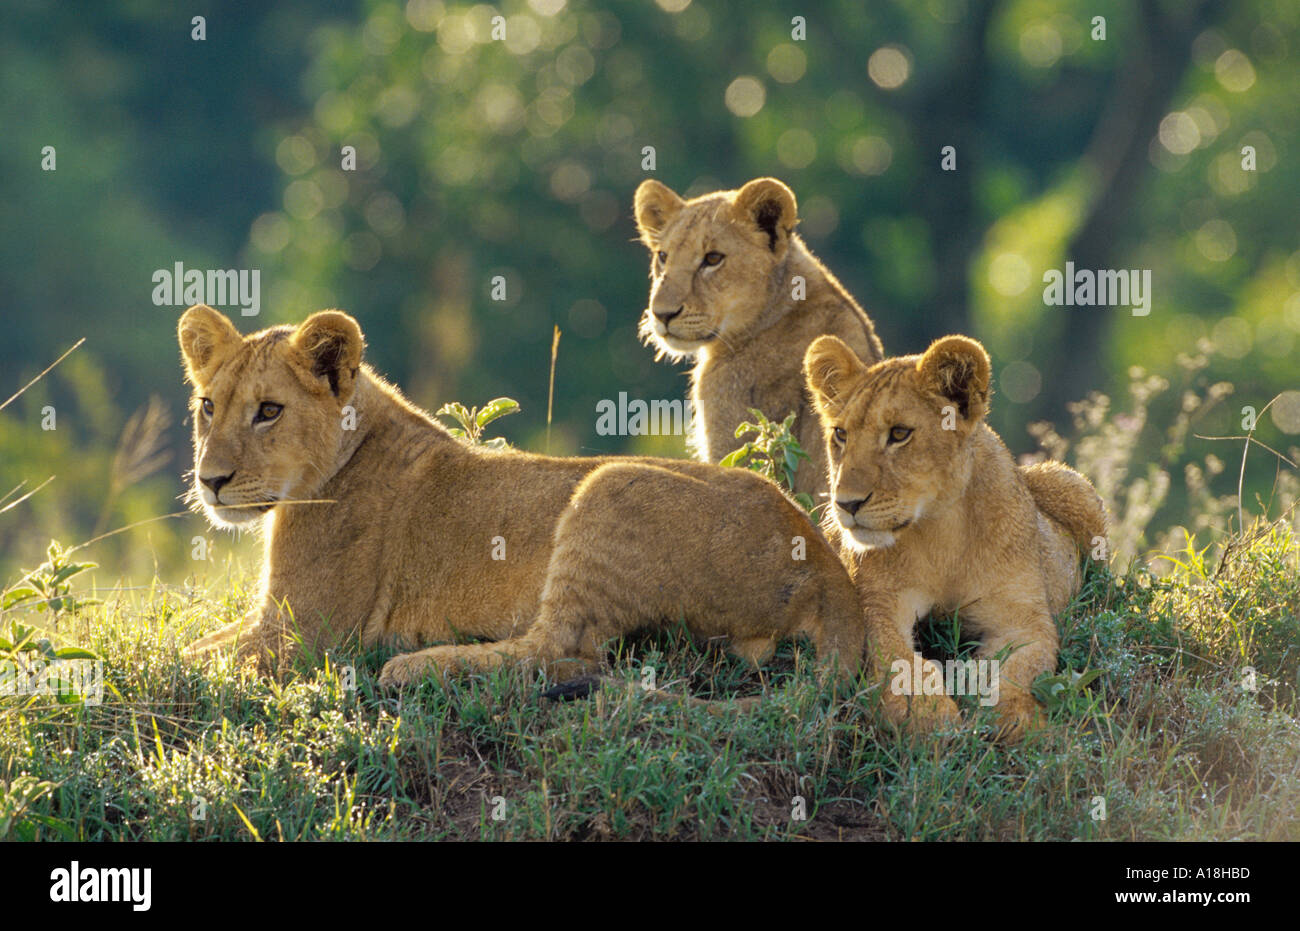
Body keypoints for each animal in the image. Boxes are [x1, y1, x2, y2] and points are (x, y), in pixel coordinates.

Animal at [177, 304, 866, 693]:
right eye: (208, 406)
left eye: (268, 411)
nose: (211, 480)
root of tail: (826, 565)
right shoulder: (272, 623)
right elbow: (196, 644)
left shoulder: (303, 637)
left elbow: (186, 657)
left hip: (609, 485)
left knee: (560, 648)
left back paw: (419, 665)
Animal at [803, 333, 1107, 740]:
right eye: (841, 434)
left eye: (899, 433)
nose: (846, 503)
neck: (938, 528)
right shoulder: (877, 602)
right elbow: (897, 657)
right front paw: (925, 714)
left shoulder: (1023, 618)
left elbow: (1019, 668)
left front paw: (1018, 719)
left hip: (1071, 483)